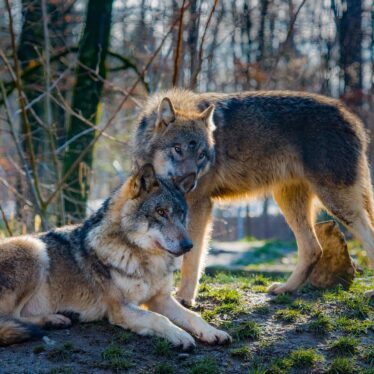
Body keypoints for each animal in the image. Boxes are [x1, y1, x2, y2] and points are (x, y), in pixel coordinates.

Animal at [0, 165, 231, 346]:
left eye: (181, 214)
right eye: (161, 212)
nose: (189, 245)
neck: (145, 261)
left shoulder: (161, 298)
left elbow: (193, 316)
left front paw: (213, 332)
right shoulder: (121, 308)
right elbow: (159, 319)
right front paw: (180, 336)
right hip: (33, 248)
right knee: (11, 318)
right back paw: (53, 319)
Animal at [135, 88, 374, 306]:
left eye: (202, 155)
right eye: (177, 149)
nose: (190, 183)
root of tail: (353, 119)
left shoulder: (199, 205)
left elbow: (191, 257)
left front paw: (184, 298)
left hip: (337, 204)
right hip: (289, 202)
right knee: (313, 249)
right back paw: (285, 289)